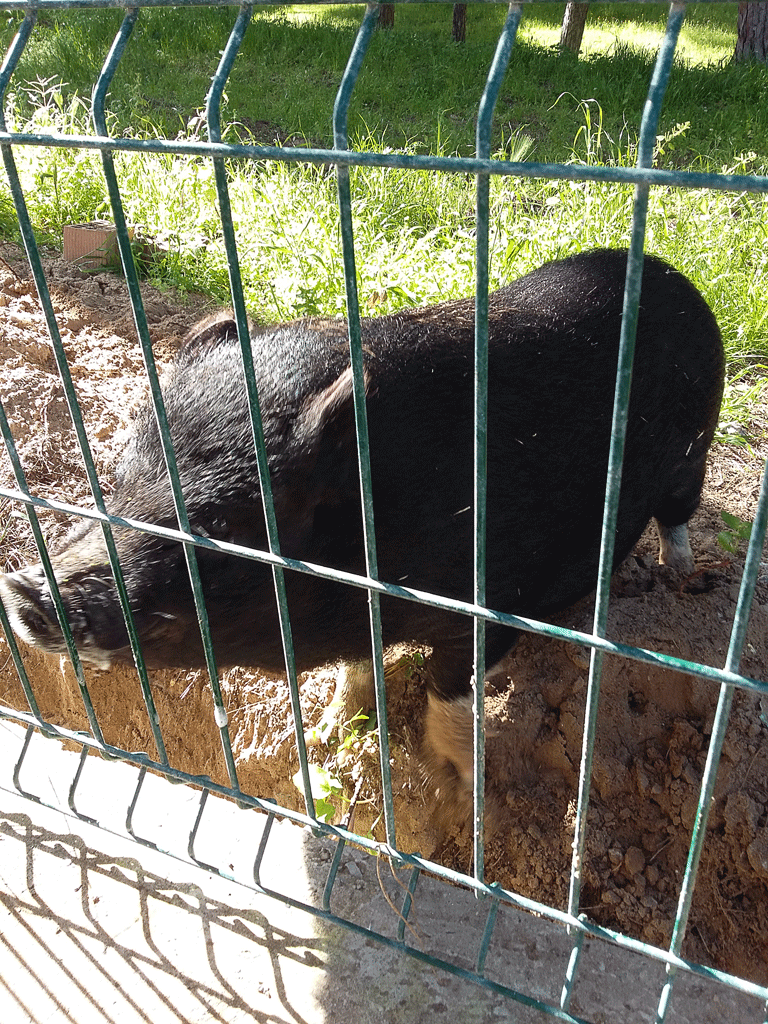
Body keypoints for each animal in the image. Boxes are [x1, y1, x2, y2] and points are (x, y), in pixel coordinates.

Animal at [0, 249, 724, 811]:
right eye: (119, 474)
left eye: (224, 525)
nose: (26, 592)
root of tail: (670, 272)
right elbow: (358, 672)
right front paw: (323, 734)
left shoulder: (496, 603)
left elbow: (450, 694)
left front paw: (460, 795)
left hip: (693, 455)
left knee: (677, 517)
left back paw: (683, 577)